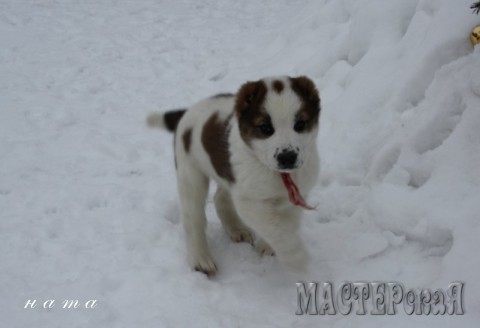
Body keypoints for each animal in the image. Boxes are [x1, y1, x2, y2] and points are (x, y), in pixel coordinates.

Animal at [146, 75, 318, 276]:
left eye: (300, 124)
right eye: (266, 128)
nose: (287, 157)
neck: (278, 174)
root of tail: (187, 111)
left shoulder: (293, 196)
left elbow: (285, 224)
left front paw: (269, 245)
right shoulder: (249, 201)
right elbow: (276, 227)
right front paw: (295, 258)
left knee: (220, 197)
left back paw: (236, 229)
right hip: (190, 174)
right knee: (192, 218)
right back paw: (200, 259)